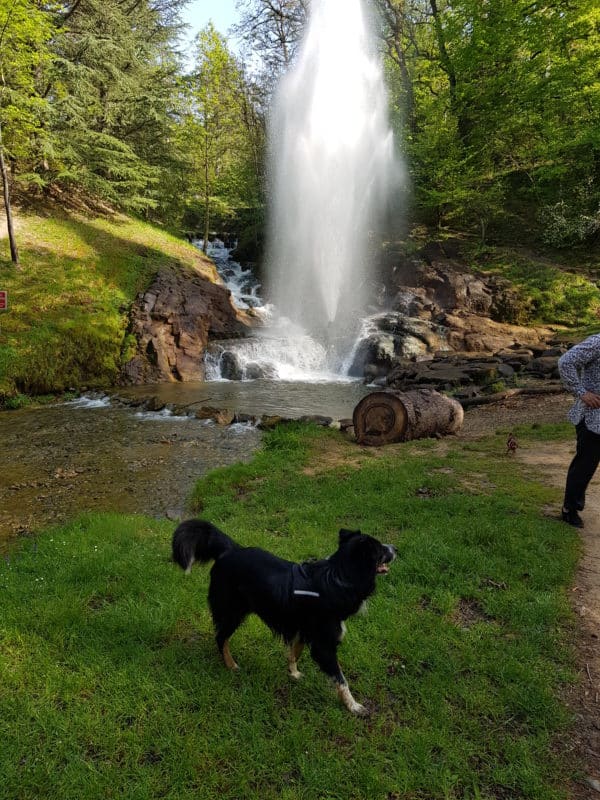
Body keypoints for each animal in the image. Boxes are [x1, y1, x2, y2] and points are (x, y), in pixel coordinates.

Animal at [172, 520, 398, 716]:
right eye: (380, 550)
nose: (396, 548)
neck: (339, 577)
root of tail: (231, 549)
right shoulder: (323, 645)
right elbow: (341, 679)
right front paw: (354, 706)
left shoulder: (303, 629)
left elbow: (295, 652)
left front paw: (293, 673)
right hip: (232, 611)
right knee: (221, 637)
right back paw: (231, 665)